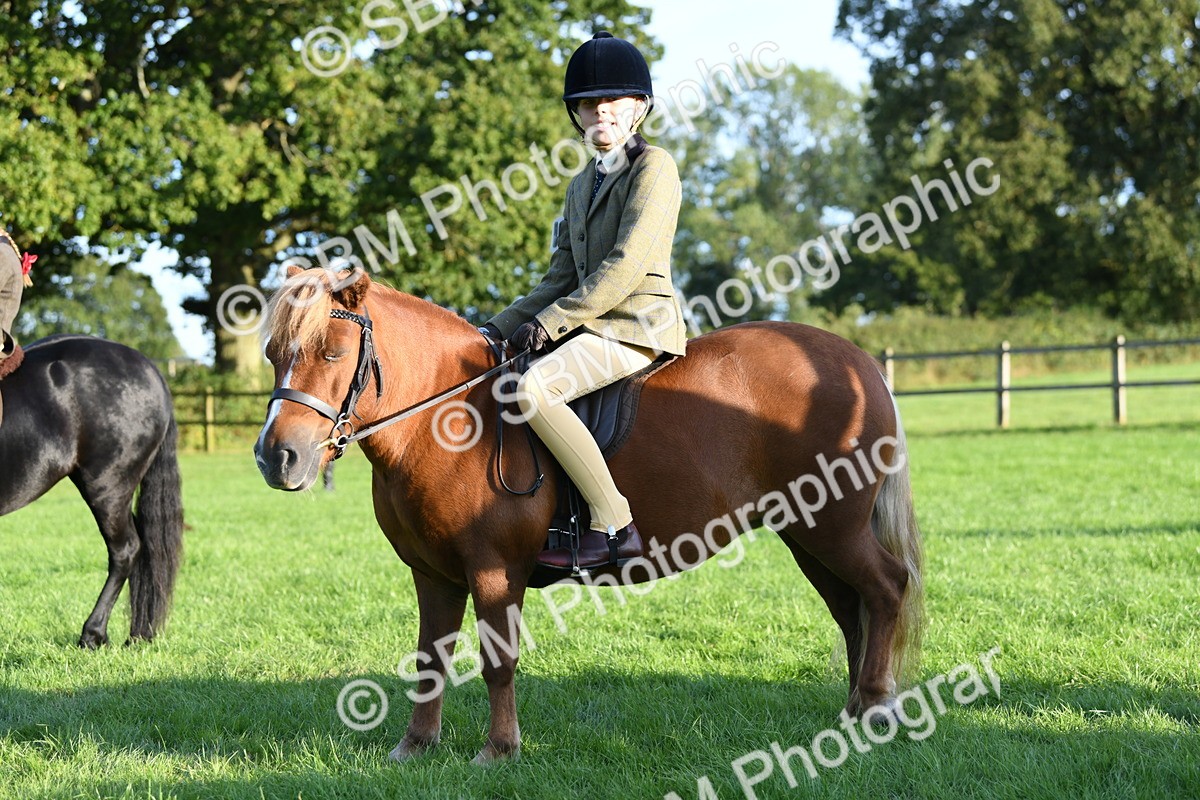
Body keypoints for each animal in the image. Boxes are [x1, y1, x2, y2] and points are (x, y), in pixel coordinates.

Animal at [254, 266, 924, 764]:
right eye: (273, 353)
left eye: (332, 352)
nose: (276, 457)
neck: (447, 419)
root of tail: (858, 363)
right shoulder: (433, 574)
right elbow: (431, 658)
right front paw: (415, 746)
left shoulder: (494, 570)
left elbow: (498, 660)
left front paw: (499, 750)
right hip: (807, 533)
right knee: (851, 610)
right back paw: (854, 714)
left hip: (832, 529)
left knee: (886, 590)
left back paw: (875, 708)